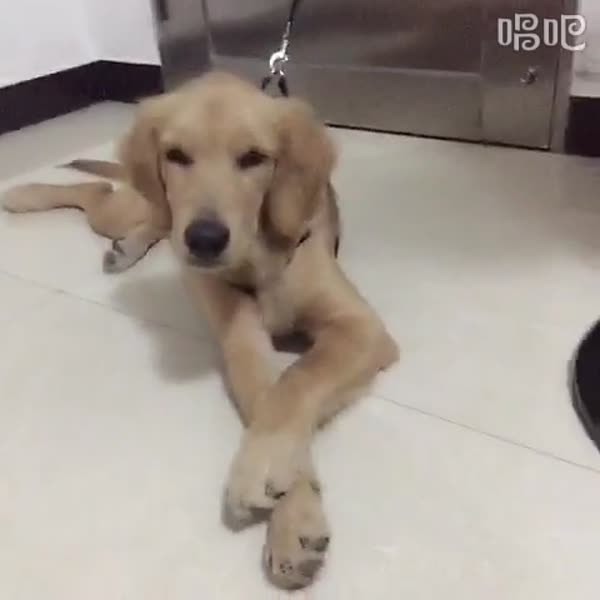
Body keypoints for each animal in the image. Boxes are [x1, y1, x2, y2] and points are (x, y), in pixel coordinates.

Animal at [2, 72, 399, 588]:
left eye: (253, 158)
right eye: (177, 155)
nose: (205, 240)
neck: (259, 258)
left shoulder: (360, 326)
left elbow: (294, 384)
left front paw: (275, 484)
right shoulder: (239, 339)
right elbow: (270, 394)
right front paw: (294, 510)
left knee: (132, 211)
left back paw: (121, 242)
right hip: (138, 206)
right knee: (105, 196)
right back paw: (27, 194)